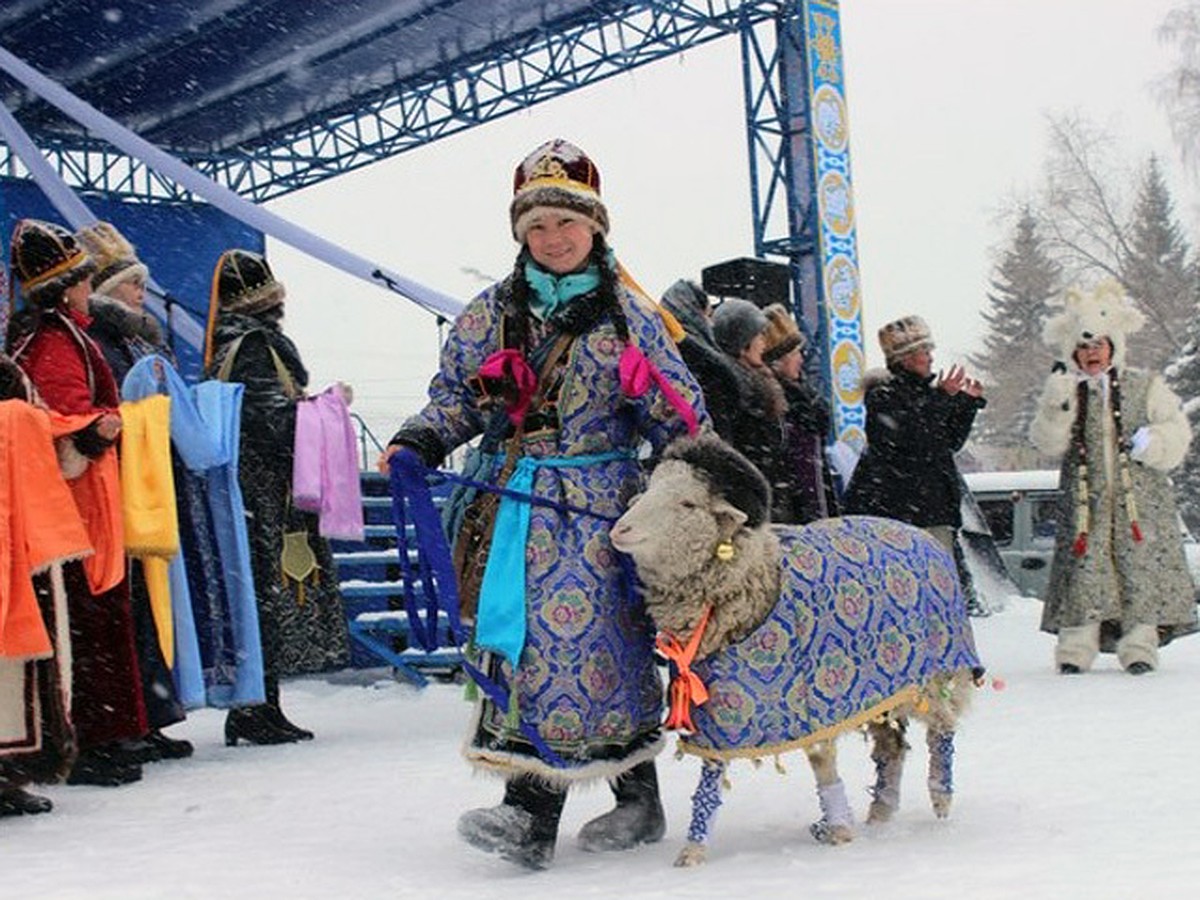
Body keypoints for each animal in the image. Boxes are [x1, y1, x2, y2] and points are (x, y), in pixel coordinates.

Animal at [614, 434, 979, 868]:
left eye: (688, 503)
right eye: (650, 487)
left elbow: (822, 761)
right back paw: (881, 810)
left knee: (942, 727)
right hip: (881, 691)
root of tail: (920, 534)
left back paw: (941, 795)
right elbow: (711, 773)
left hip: (933, 673)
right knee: (892, 746)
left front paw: (838, 829)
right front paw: (693, 848)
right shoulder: (721, 705)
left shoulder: (817, 700)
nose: (620, 529)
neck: (759, 579)